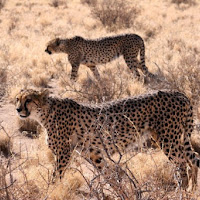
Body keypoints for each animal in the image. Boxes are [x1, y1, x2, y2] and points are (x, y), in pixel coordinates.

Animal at [14, 89, 199, 189]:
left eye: (28, 100)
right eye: (17, 99)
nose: (17, 109)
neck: (45, 112)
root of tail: (178, 93)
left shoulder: (64, 154)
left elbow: (55, 177)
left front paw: (50, 191)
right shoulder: (93, 152)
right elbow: (108, 174)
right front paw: (120, 190)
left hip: (168, 140)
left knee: (182, 163)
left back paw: (182, 189)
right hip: (173, 138)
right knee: (193, 158)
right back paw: (192, 189)